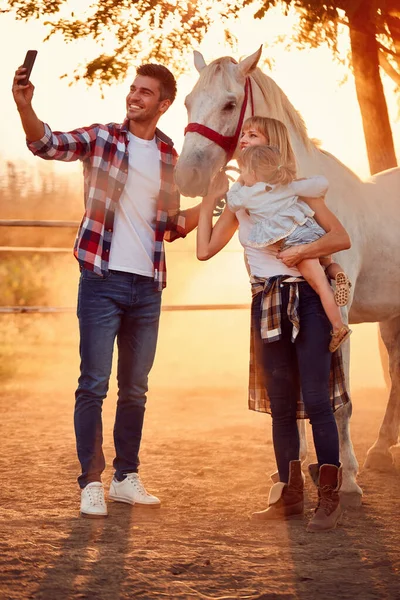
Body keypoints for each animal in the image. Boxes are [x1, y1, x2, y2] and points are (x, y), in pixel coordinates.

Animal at [174, 47, 400, 508]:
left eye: (229, 104)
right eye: (187, 101)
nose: (188, 177)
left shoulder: (338, 312)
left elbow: (340, 404)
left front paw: (348, 481)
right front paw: (292, 473)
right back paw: (382, 449)